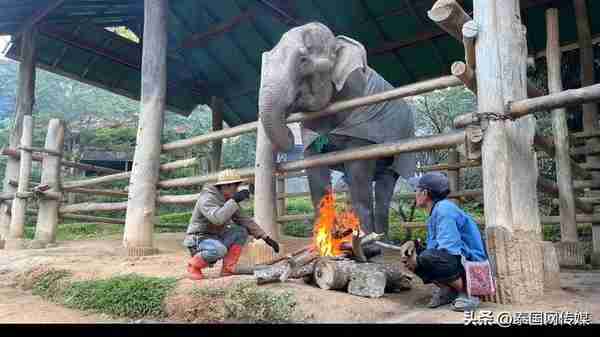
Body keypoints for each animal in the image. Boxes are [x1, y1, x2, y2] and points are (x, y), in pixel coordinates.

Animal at [258, 21, 418, 236]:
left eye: (303, 60)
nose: (290, 135)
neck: (337, 41)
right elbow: (314, 168)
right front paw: (324, 238)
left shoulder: (363, 118)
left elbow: (357, 166)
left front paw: (364, 238)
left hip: (403, 146)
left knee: (383, 187)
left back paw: (381, 238)